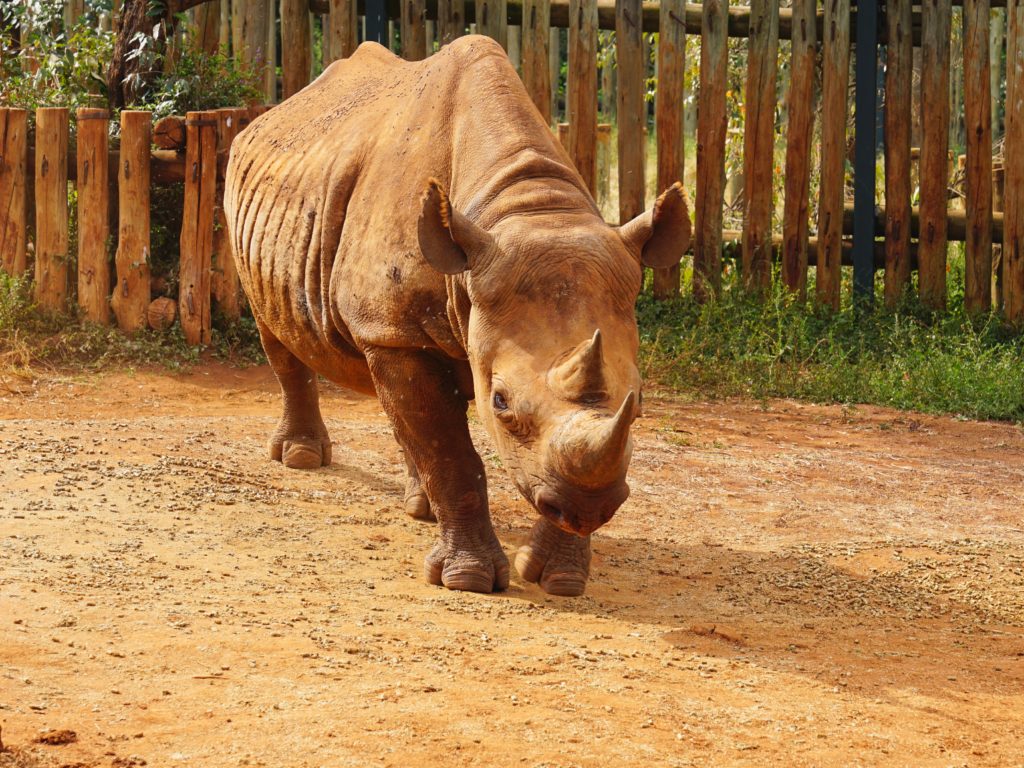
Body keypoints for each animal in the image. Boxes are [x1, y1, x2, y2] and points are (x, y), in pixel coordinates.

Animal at [223, 36, 688, 598]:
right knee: (277, 332)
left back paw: (419, 507)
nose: (589, 510)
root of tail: (269, 113)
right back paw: (301, 458)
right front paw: (467, 580)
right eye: (501, 401)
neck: (524, 207)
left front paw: (561, 580)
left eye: (640, 400)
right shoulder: (393, 331)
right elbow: (450, 455)